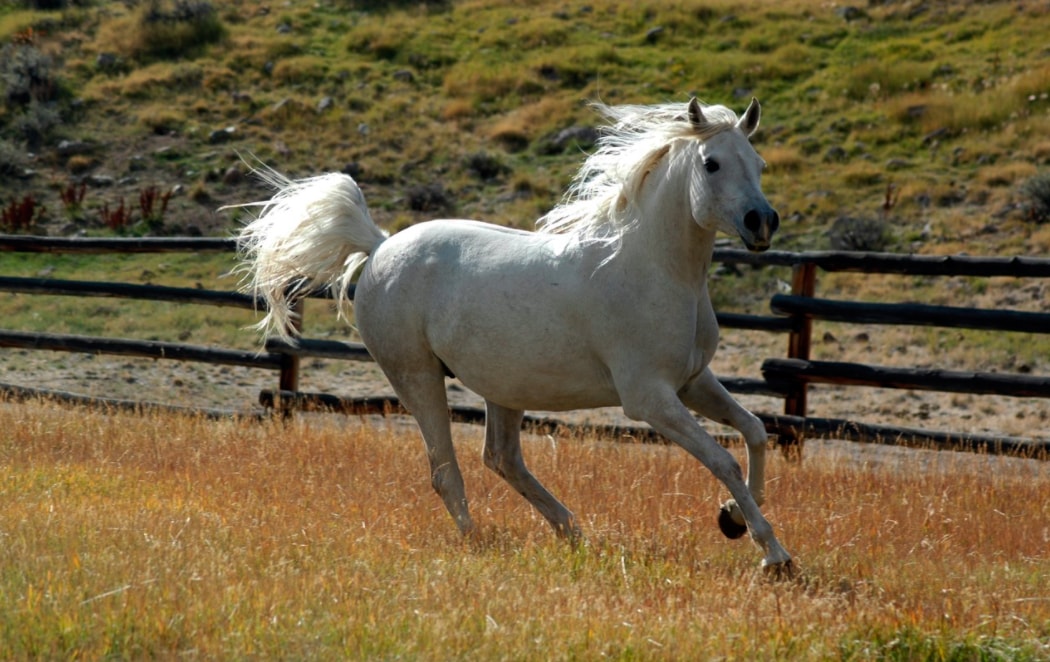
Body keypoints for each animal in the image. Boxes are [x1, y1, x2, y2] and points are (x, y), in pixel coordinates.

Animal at [234, 98, 789, 575]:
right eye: (712, 164)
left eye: (758, 162)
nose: (762, 222)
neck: (655, 269)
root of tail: (380, 245)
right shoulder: (649, 398)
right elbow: (722, 459)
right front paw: (772, 553)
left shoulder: (693, 382)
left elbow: (755, 431)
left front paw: (732, 519)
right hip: (417, 377)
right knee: (446, 470)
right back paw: (476, 542)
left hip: (503, 387)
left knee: (501, 459)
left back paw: (572, 532)